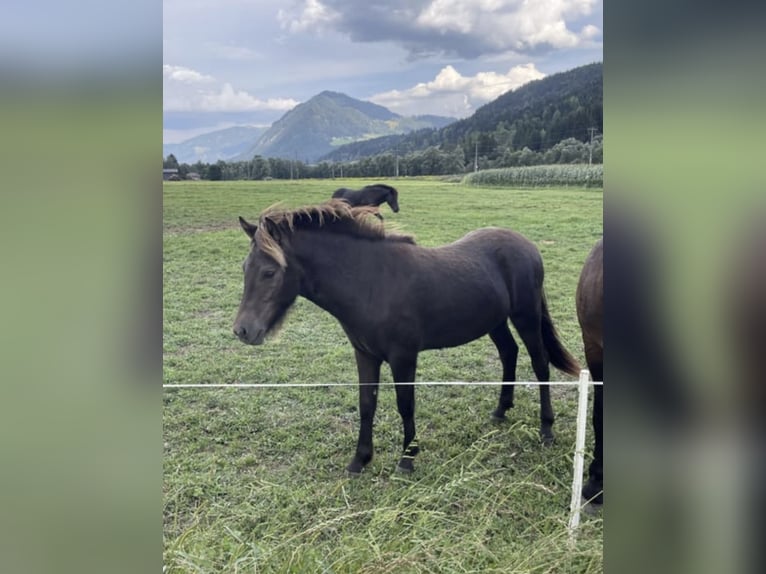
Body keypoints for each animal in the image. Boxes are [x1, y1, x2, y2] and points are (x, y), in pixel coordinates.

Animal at [233, 200, 580, 474]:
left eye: (270, 272)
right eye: (245, 267)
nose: (243, 330)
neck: (371, 282)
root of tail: (527, 245)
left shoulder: (403, 357)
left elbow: (405, 404)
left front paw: (407, 459)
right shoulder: (365, 354)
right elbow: (366, 404)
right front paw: (360, 460)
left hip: (526, 317)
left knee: (539, 363)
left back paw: (546, 429)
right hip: (495, 321)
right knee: (509, 353)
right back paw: (500, 411)